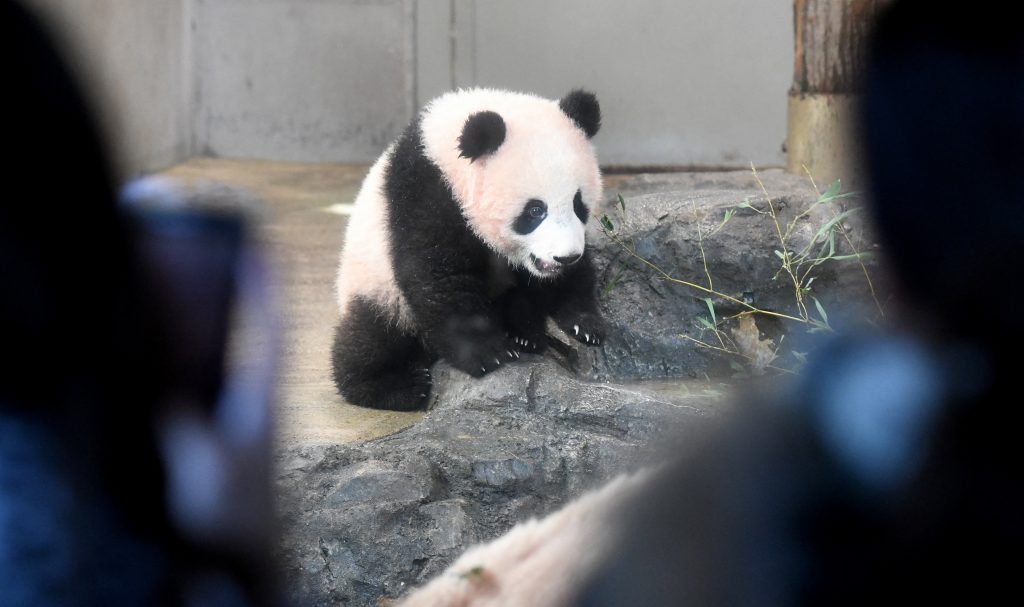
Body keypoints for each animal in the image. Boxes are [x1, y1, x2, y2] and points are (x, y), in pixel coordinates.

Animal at [335, 87, 602, 409]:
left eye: (579, 204)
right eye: (535, 210)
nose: (565, 257)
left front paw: (584, 324)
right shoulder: (424, 196)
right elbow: (439, 276)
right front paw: (488, 354)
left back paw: (526, 334)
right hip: (379, 287)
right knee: (373, 336)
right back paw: (395, 384)